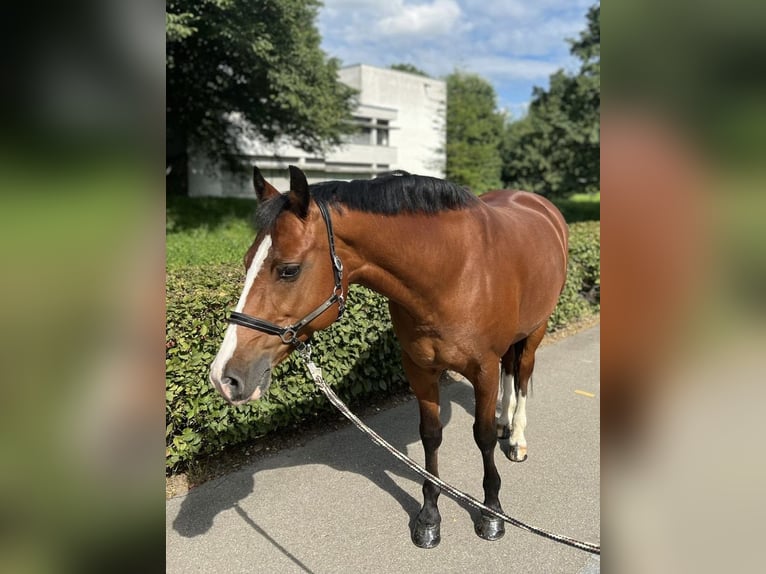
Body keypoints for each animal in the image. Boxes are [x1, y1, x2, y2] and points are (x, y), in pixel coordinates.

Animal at [210, 165, 568, 548]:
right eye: (247, 262)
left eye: (288, 270)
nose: (224, 376)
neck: (453, 272)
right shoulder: (420, 368)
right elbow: (431, 435)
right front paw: (429, 516)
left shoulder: (482, 369)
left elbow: (482, 437)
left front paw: (492, 512)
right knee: (510, 373)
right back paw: (504, 422)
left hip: (536, 331)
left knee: (522, 376)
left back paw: (516, 439)